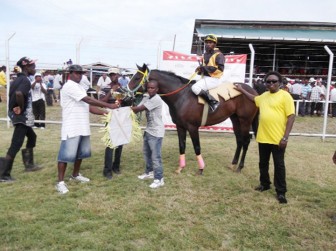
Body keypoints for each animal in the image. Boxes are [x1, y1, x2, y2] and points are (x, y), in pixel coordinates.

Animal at [127, 63, 258, 174]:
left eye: (137, 77)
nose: (126, 93)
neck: (181, 96)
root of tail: (253, 91)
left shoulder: (193, 127)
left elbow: (197, 147)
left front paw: (201, 169)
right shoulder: (180, 126)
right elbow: (182, 146)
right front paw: (180, 167)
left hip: (245, 121)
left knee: (246, 141)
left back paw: (240, 167)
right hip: (235, 119)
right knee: (239, 140)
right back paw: (233, 164)